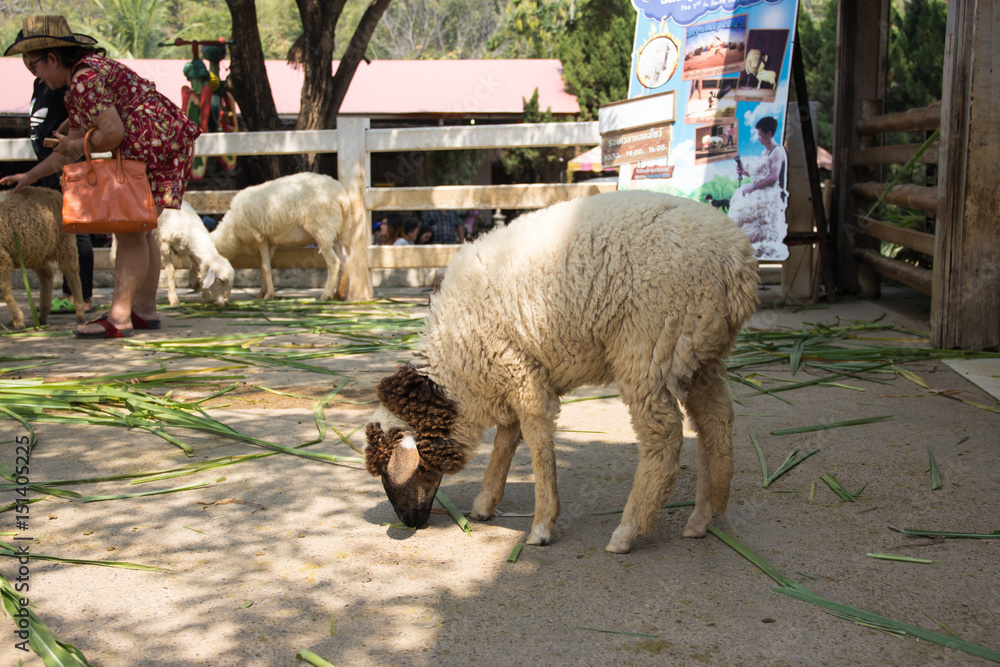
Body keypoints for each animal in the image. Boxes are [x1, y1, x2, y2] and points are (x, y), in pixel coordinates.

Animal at [1, 187, 84, 329]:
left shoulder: (3, 259)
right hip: (36, 253)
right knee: (47, 273)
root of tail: (53, 192)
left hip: (65, 244)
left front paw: (18, 321)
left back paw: (80, 314)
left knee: (73, 276)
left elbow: (4, 290)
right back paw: (43, 315)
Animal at [210, 173, 351, 301]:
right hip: (337, 232)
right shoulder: (270, 242)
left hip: (322, 229)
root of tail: (341, 196)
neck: (233, 232)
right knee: (345, 260)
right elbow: (263, 267)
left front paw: (268, 295)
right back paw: (339, 294)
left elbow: (266, 268)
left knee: (334, 262)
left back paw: (327, 295)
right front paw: (261, 293)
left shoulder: (260, 238)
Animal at [364, 190, 759, 554]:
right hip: (698, 351)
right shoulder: (510, 374)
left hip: (650, 346)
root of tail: (738, 261)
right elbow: (506, 440)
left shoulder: (520, 375)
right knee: (716, 420)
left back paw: (627, 532)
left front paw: (541, 525)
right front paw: (485, 503)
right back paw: (702, 517)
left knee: (664, 436)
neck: (456, 378)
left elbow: (536, 442)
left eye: (391, 473)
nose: (409, 522)